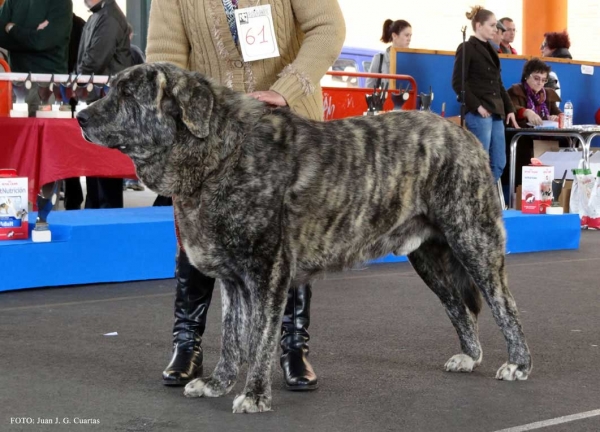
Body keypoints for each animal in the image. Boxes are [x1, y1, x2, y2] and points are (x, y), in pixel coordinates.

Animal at [77, 62, 532, 414]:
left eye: (127, 93)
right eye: (109, 87)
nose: (80, 117)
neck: (220, 153)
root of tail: (464, 133)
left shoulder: (267, 274)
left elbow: (259, 339)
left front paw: (255, 396)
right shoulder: (233, 280)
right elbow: (230, 338)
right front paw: (217, 384)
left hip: (474, 240)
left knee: (506, 306)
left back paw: (519, 365)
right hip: (429, 258)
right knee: (460, 306)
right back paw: (470, 356)